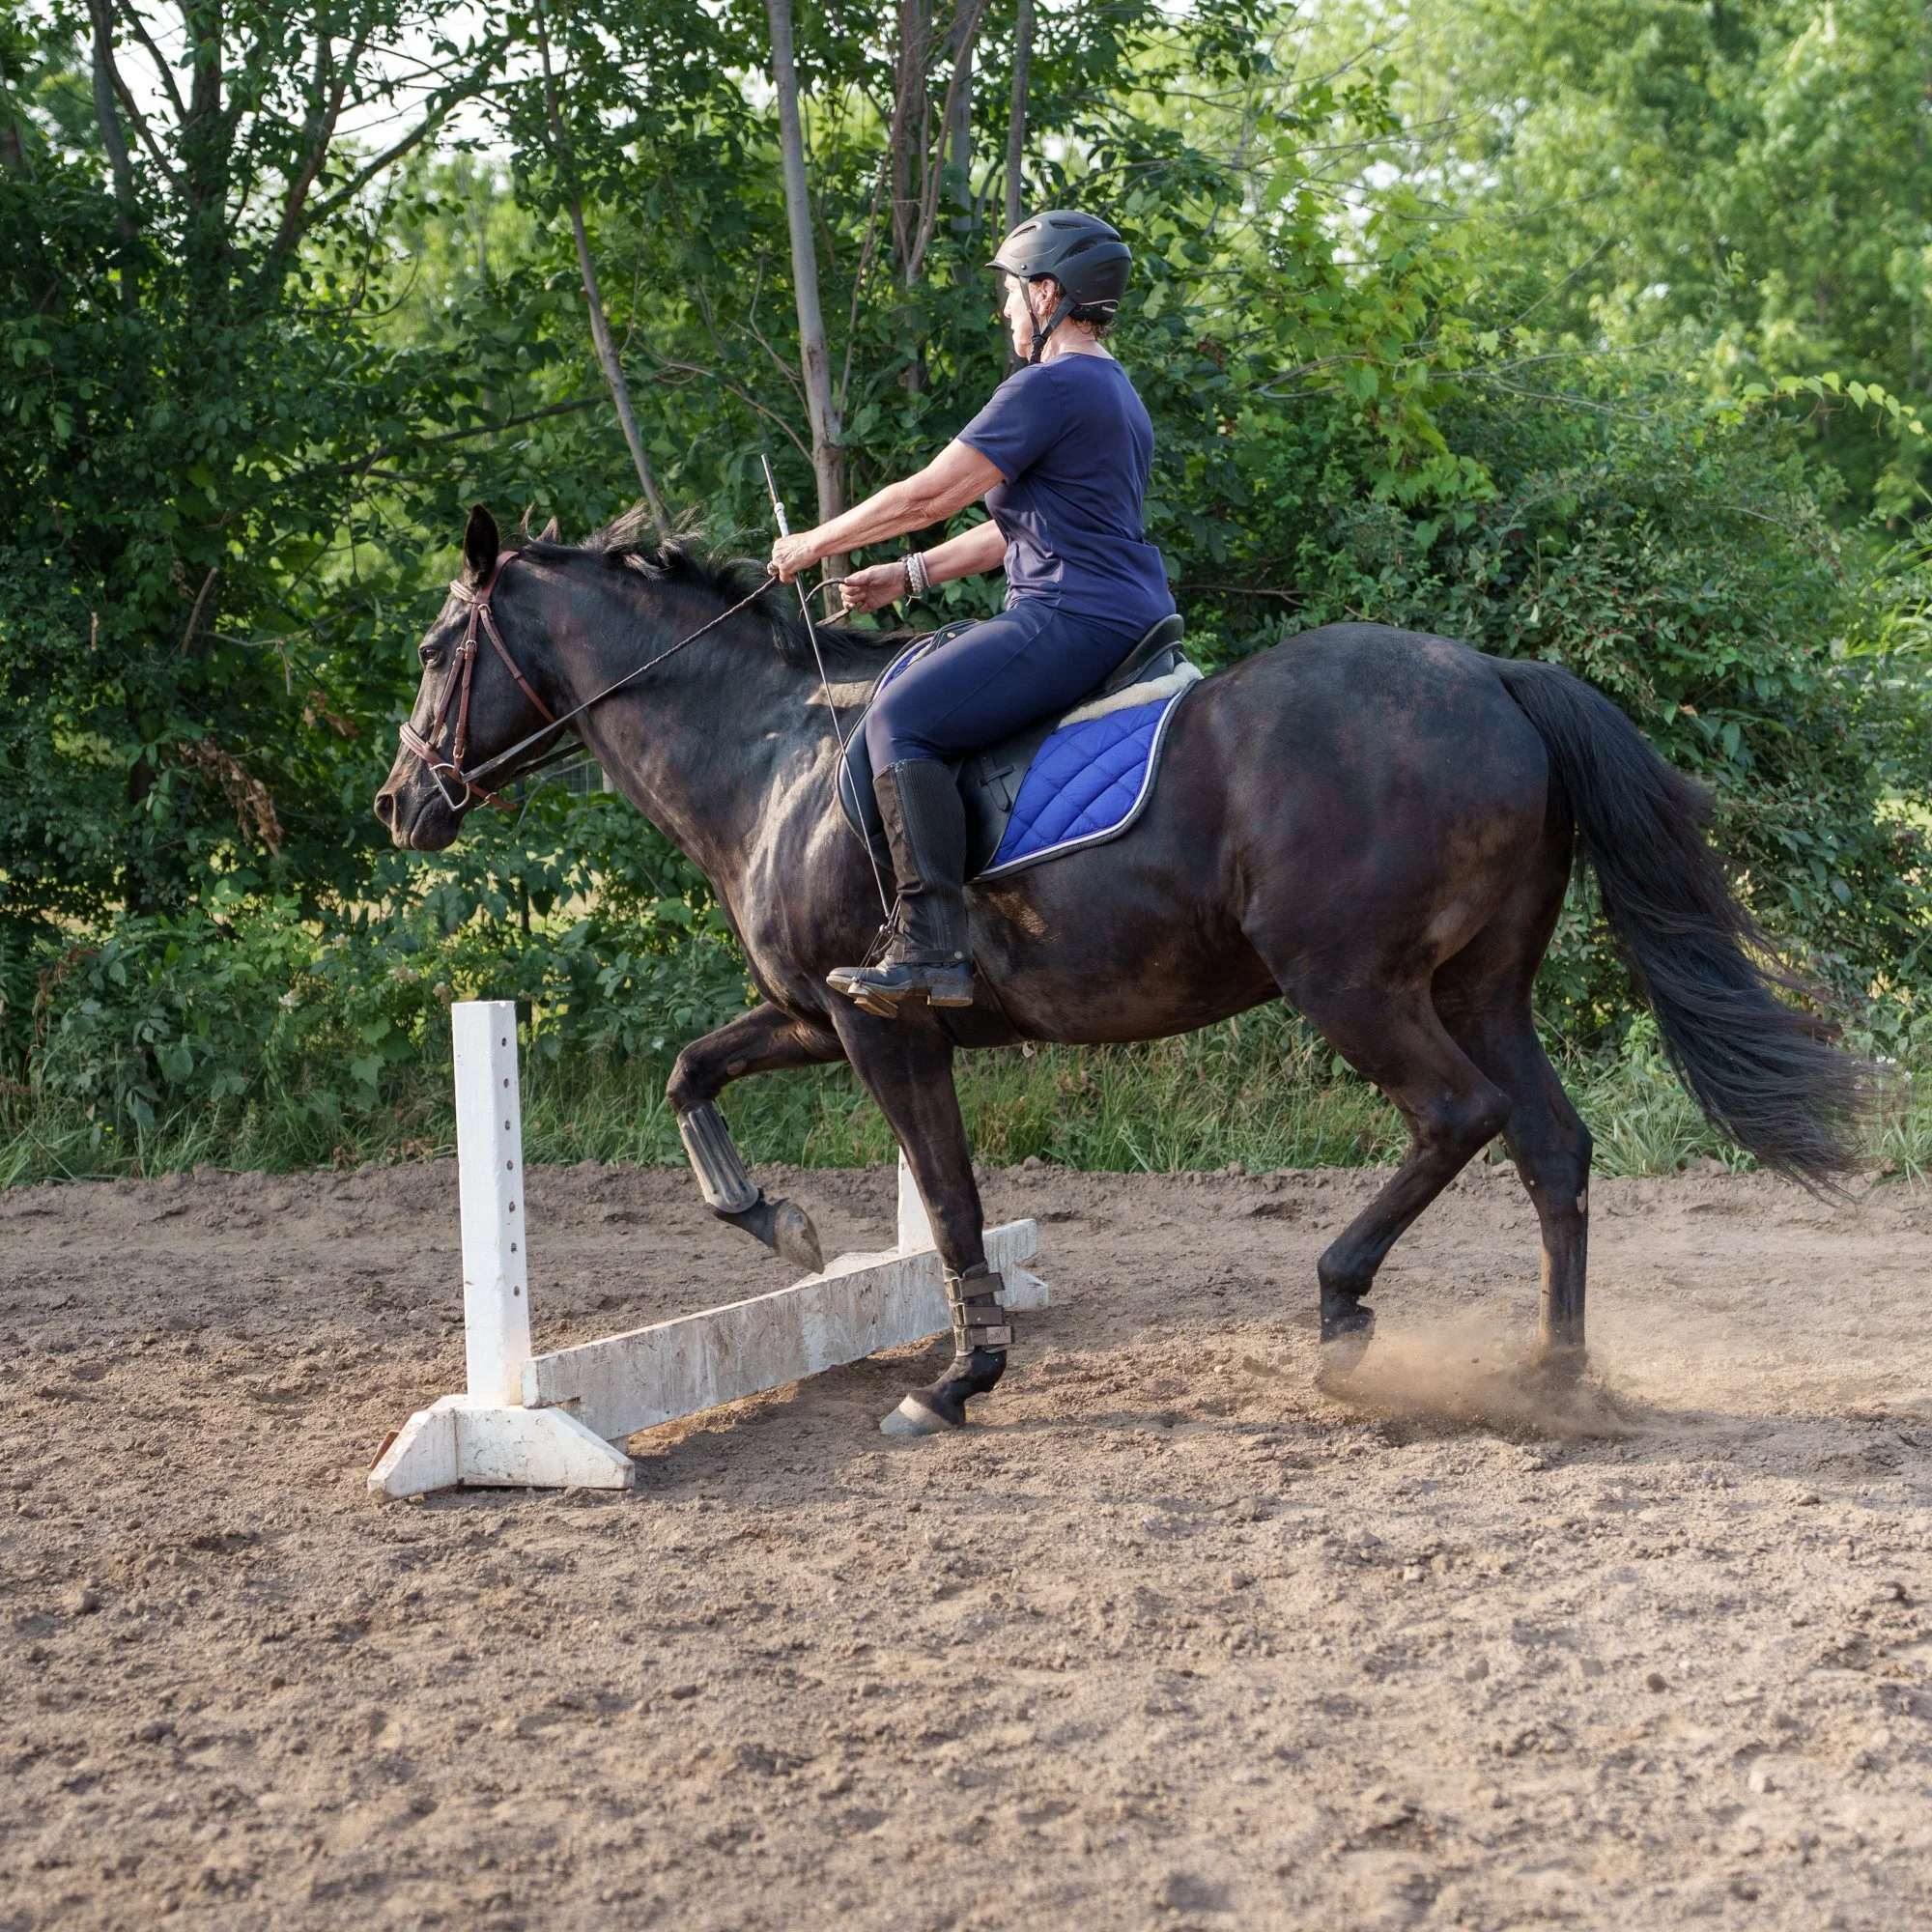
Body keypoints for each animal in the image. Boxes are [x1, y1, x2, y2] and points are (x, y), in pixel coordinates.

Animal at [375, 504, 1865, 1428]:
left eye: (440, 650)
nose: (399, 806)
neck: (771, 751)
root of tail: (1495, 678)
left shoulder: (883, 1029)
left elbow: (953, 1202)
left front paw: (956, 1379)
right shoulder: (814, 1012)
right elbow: (693, 1073)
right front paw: (780, 1227)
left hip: (1355, 984)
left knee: (1459, 1116)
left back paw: (1343, 1306)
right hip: (1482, 984)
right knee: (1551, 1145)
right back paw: (1554, 1376)